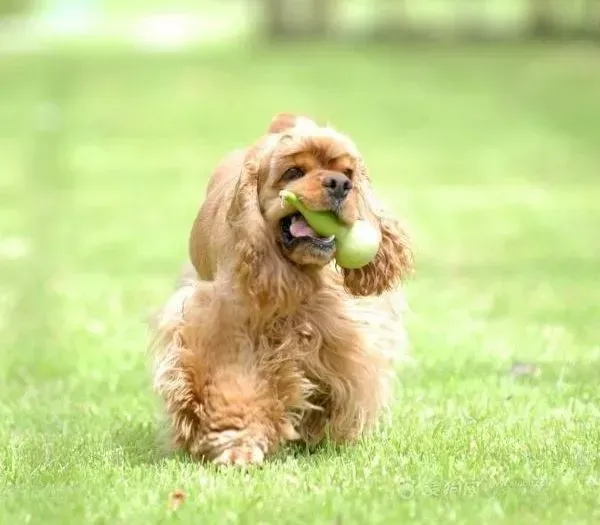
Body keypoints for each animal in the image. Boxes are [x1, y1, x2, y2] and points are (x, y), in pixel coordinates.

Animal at [150, 112, 412, 464]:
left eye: (348, 173)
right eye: (293, 172)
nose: (340, 184)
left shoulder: (336, 331)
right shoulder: (226, 327)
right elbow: (235, 386)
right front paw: (239, 447)